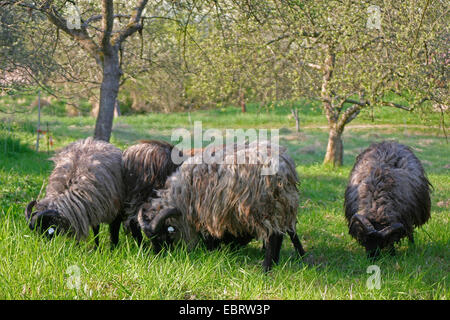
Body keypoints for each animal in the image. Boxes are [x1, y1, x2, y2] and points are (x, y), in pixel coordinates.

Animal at [137, 141, 306, 272]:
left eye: (160, 236)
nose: (158, 256)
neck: (180, 196)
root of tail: (284, 167)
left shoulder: (206, 214)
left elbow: (210, 237)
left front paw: (212, 251)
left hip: (263, 207)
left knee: (273, 236)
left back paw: (266, 268)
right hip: (283, 204)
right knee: (282, 232)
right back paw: (285, 260)